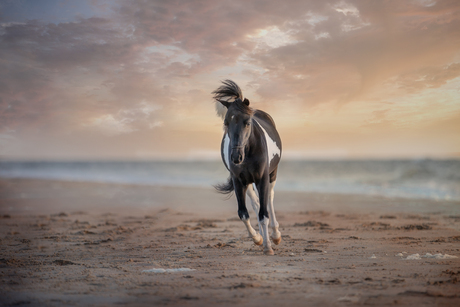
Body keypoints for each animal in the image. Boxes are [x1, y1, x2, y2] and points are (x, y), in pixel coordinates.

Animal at [214, 80, 282, 256]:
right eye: (226, 123)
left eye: (247, 122)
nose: (236, 157)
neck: (249, 152)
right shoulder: (238, 181)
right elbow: (243, 214)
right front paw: (258, 239)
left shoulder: (262, 179)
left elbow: (264, 214)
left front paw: (268, 246)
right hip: (248, 182)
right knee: (256, 203)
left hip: (272, 175)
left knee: (270, 199)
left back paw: (275, 235)